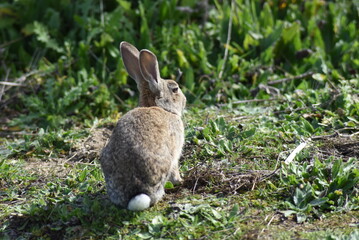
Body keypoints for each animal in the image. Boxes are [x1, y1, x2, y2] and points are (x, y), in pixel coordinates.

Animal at [100, 42, 187, 211]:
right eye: (175, 89)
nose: (185, 100)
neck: (160, 107)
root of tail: (136, 191)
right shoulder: (175, 153)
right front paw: (181, 180)